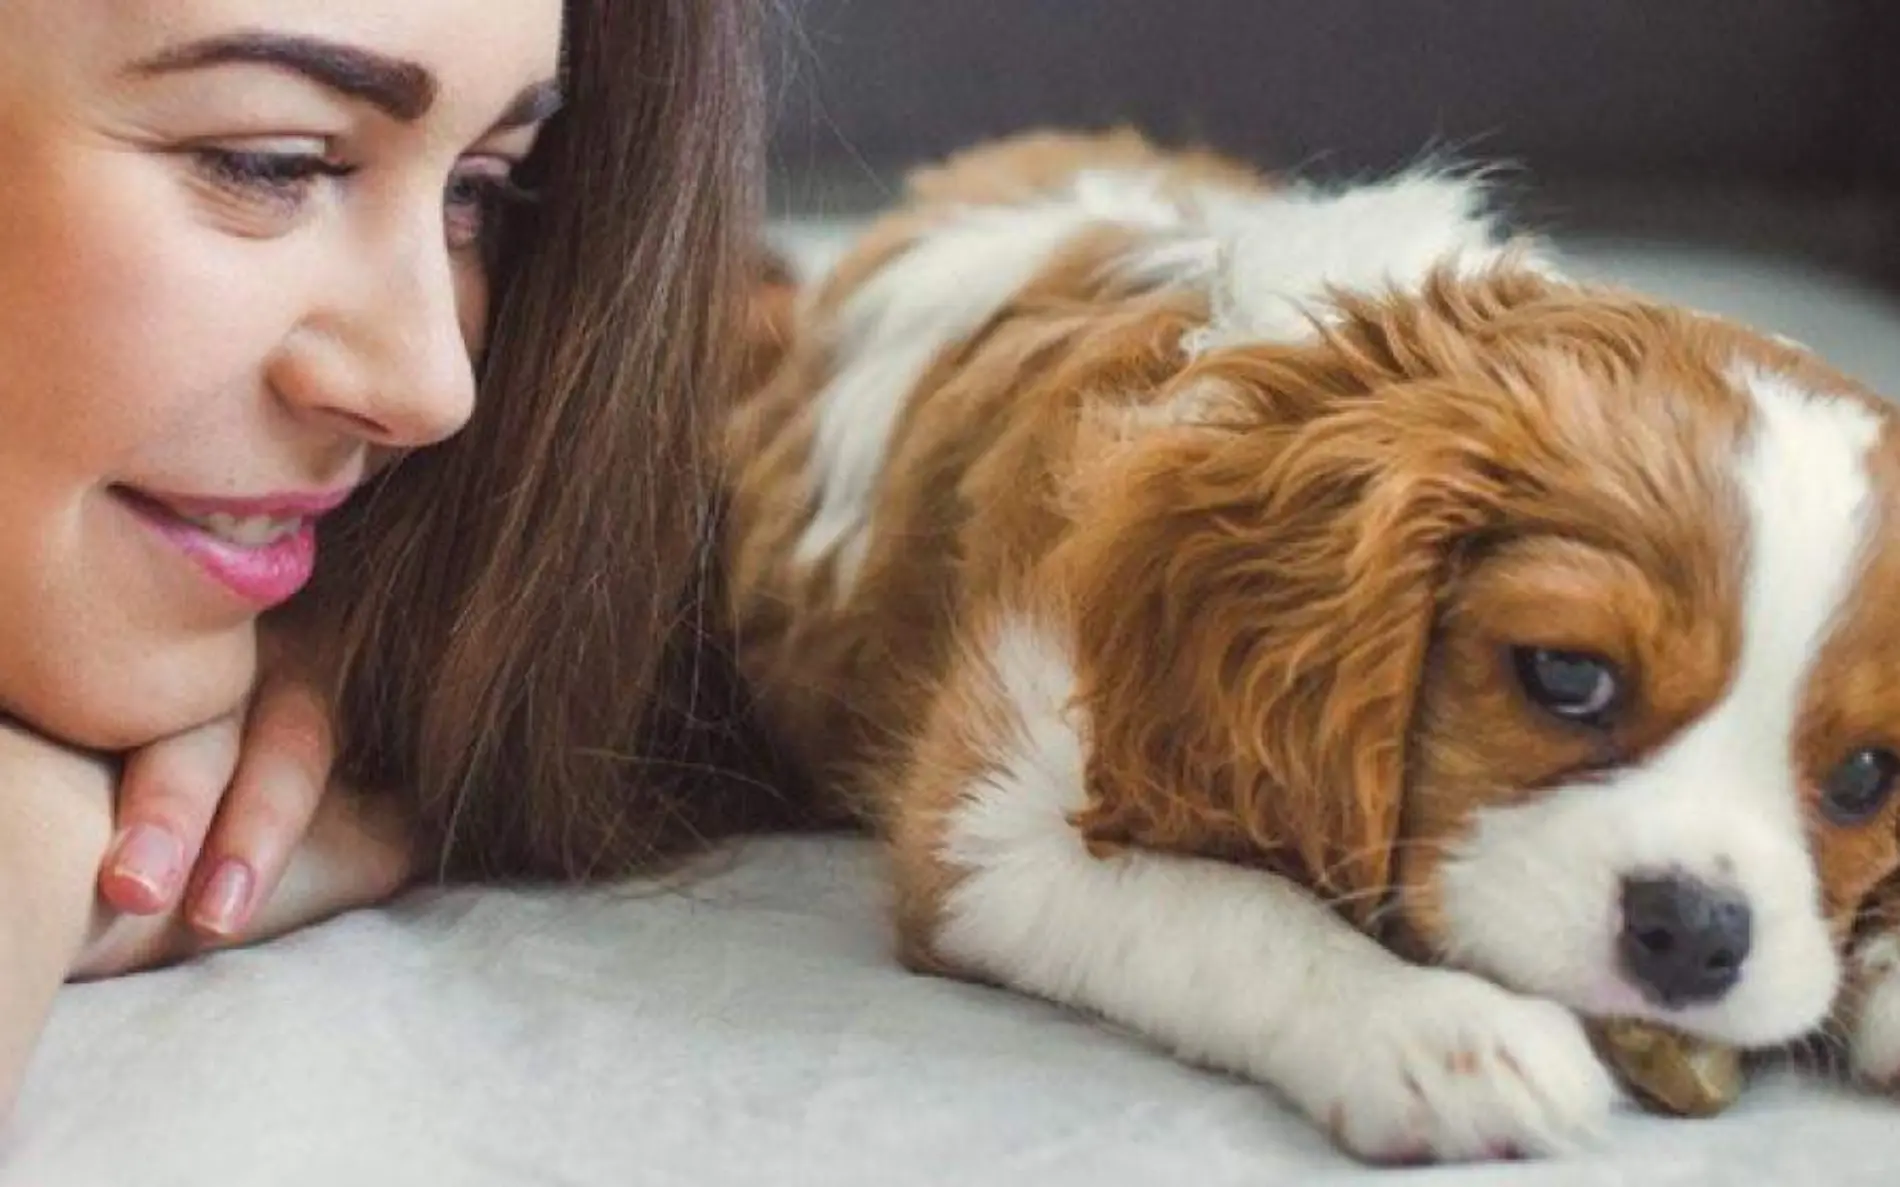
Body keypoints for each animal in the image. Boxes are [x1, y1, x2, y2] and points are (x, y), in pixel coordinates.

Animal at [722, 129, 1900, 1154]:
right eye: (1567, 675)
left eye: (1866, 774)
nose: (1695, 931)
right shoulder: (991, 829)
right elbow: (1240, 911)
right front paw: (1430, 1026)